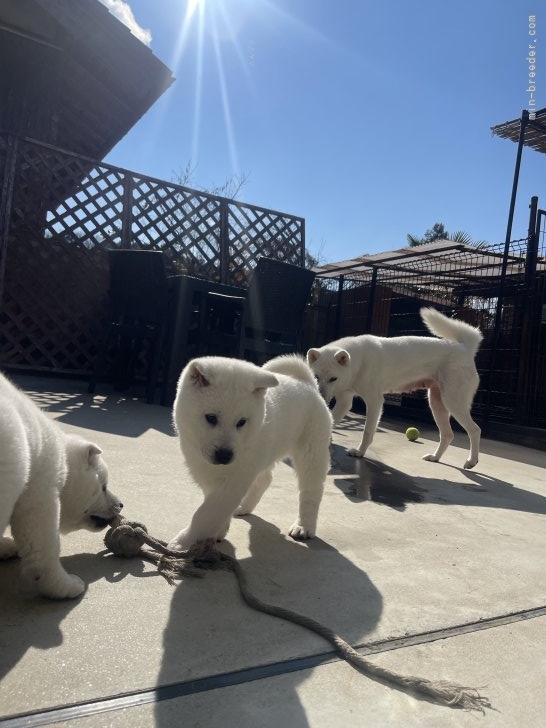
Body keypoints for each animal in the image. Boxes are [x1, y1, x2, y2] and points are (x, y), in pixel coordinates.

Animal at [0, 372, 122, 600]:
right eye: (103, 487)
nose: (121, 505)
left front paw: (3, 545)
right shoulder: (40, 490)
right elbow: (44, 546)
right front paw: (66, 586)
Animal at [167, 354, 332, 552]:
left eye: (242, 422)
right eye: (211, 418)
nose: (225, 456)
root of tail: (308, 385)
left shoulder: (235, 479)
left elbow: (206, 513)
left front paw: (183, 541)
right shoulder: (207, 474)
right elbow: (214, 507)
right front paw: (219, 530)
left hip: (311, 452)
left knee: (311, 490)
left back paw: (304, 526)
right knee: (265, 479)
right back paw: (244, 507)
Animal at [306, 308, 480, 470]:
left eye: (333, 379)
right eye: (316, 377)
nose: (321, 397)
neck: (359, 361)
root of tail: (465, 349)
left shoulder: (374, 402)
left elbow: (367, 432)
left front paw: (360, 452)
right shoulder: (344, 401)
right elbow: (331, 419)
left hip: (453, 403)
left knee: (475, 430)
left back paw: (471, 461)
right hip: (437, 405)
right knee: (447, 435)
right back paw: (435, 457)